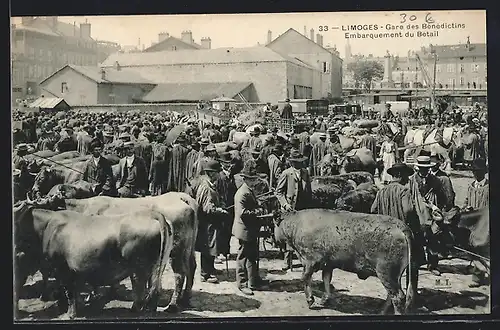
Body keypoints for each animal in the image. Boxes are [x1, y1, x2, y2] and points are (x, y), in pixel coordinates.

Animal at [14, 200, 174, 318]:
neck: (48, 226)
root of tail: (153, 214)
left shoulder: (62, 268)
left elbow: (69, 292)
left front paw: (70, 314)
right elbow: (71, 291)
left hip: (138, 268)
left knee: (141, 289)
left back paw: (135, 311)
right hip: (158, 266)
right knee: (155, 289)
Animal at [60, 192, 197, 314]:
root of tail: (181, 196)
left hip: (176, 250)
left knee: (179, 274)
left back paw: (172, 305)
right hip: (186, 249)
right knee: (191, 267)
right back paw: (184, 299)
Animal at [274, 209, 418, 314]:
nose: (273, 239)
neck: (296, 224)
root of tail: (400, 225)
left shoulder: (310, 260)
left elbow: (305, 278)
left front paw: (310, 300)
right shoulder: (328, 263)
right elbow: (326, 279)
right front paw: (324, 299)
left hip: (386, 272)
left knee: (398, 297)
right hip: (393, 275)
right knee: (391, 295)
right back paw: (381, 311)